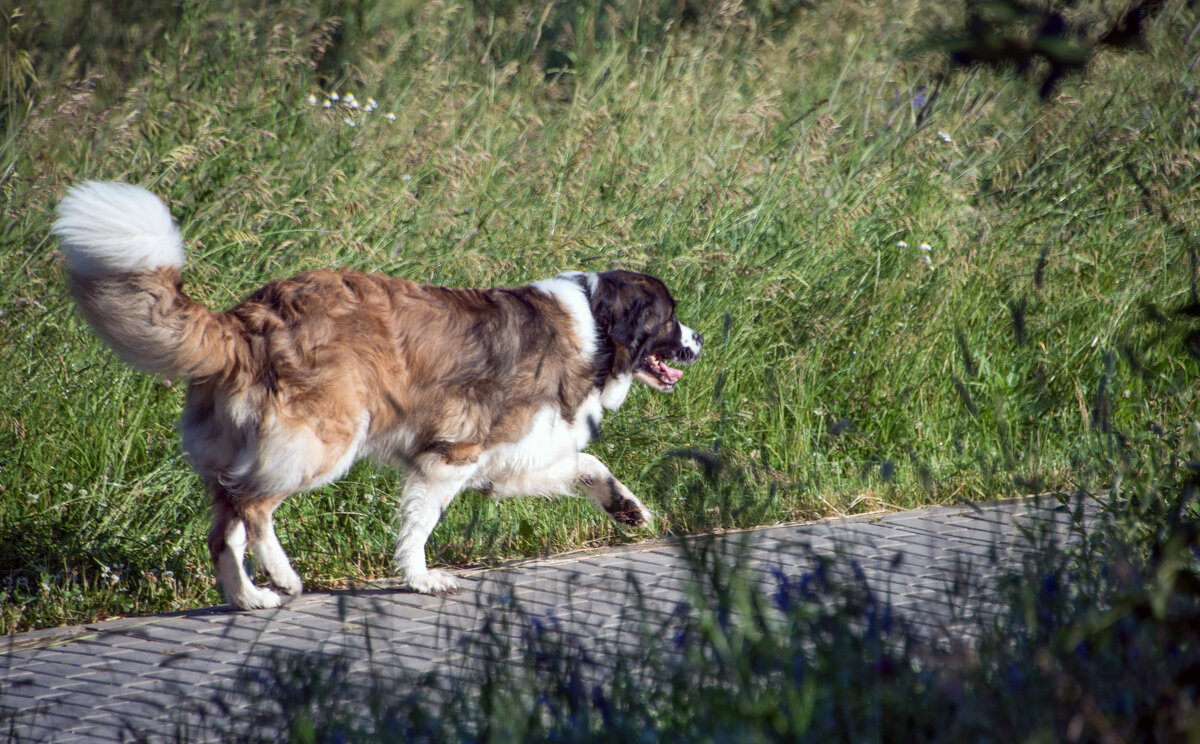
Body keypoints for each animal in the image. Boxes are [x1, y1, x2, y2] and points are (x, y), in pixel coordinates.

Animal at [51, 181, 700, 609]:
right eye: (669, 318)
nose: (697, 342)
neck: (595, 330)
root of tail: (246, 318)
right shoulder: (450, 457)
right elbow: (420, 525)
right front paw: (421, 578)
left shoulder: (507, 460)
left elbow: (588, 464)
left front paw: (627, 507)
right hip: (325, 439)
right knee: (253, 507)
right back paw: (283, 577)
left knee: (224, 527)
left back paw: (250, 597)